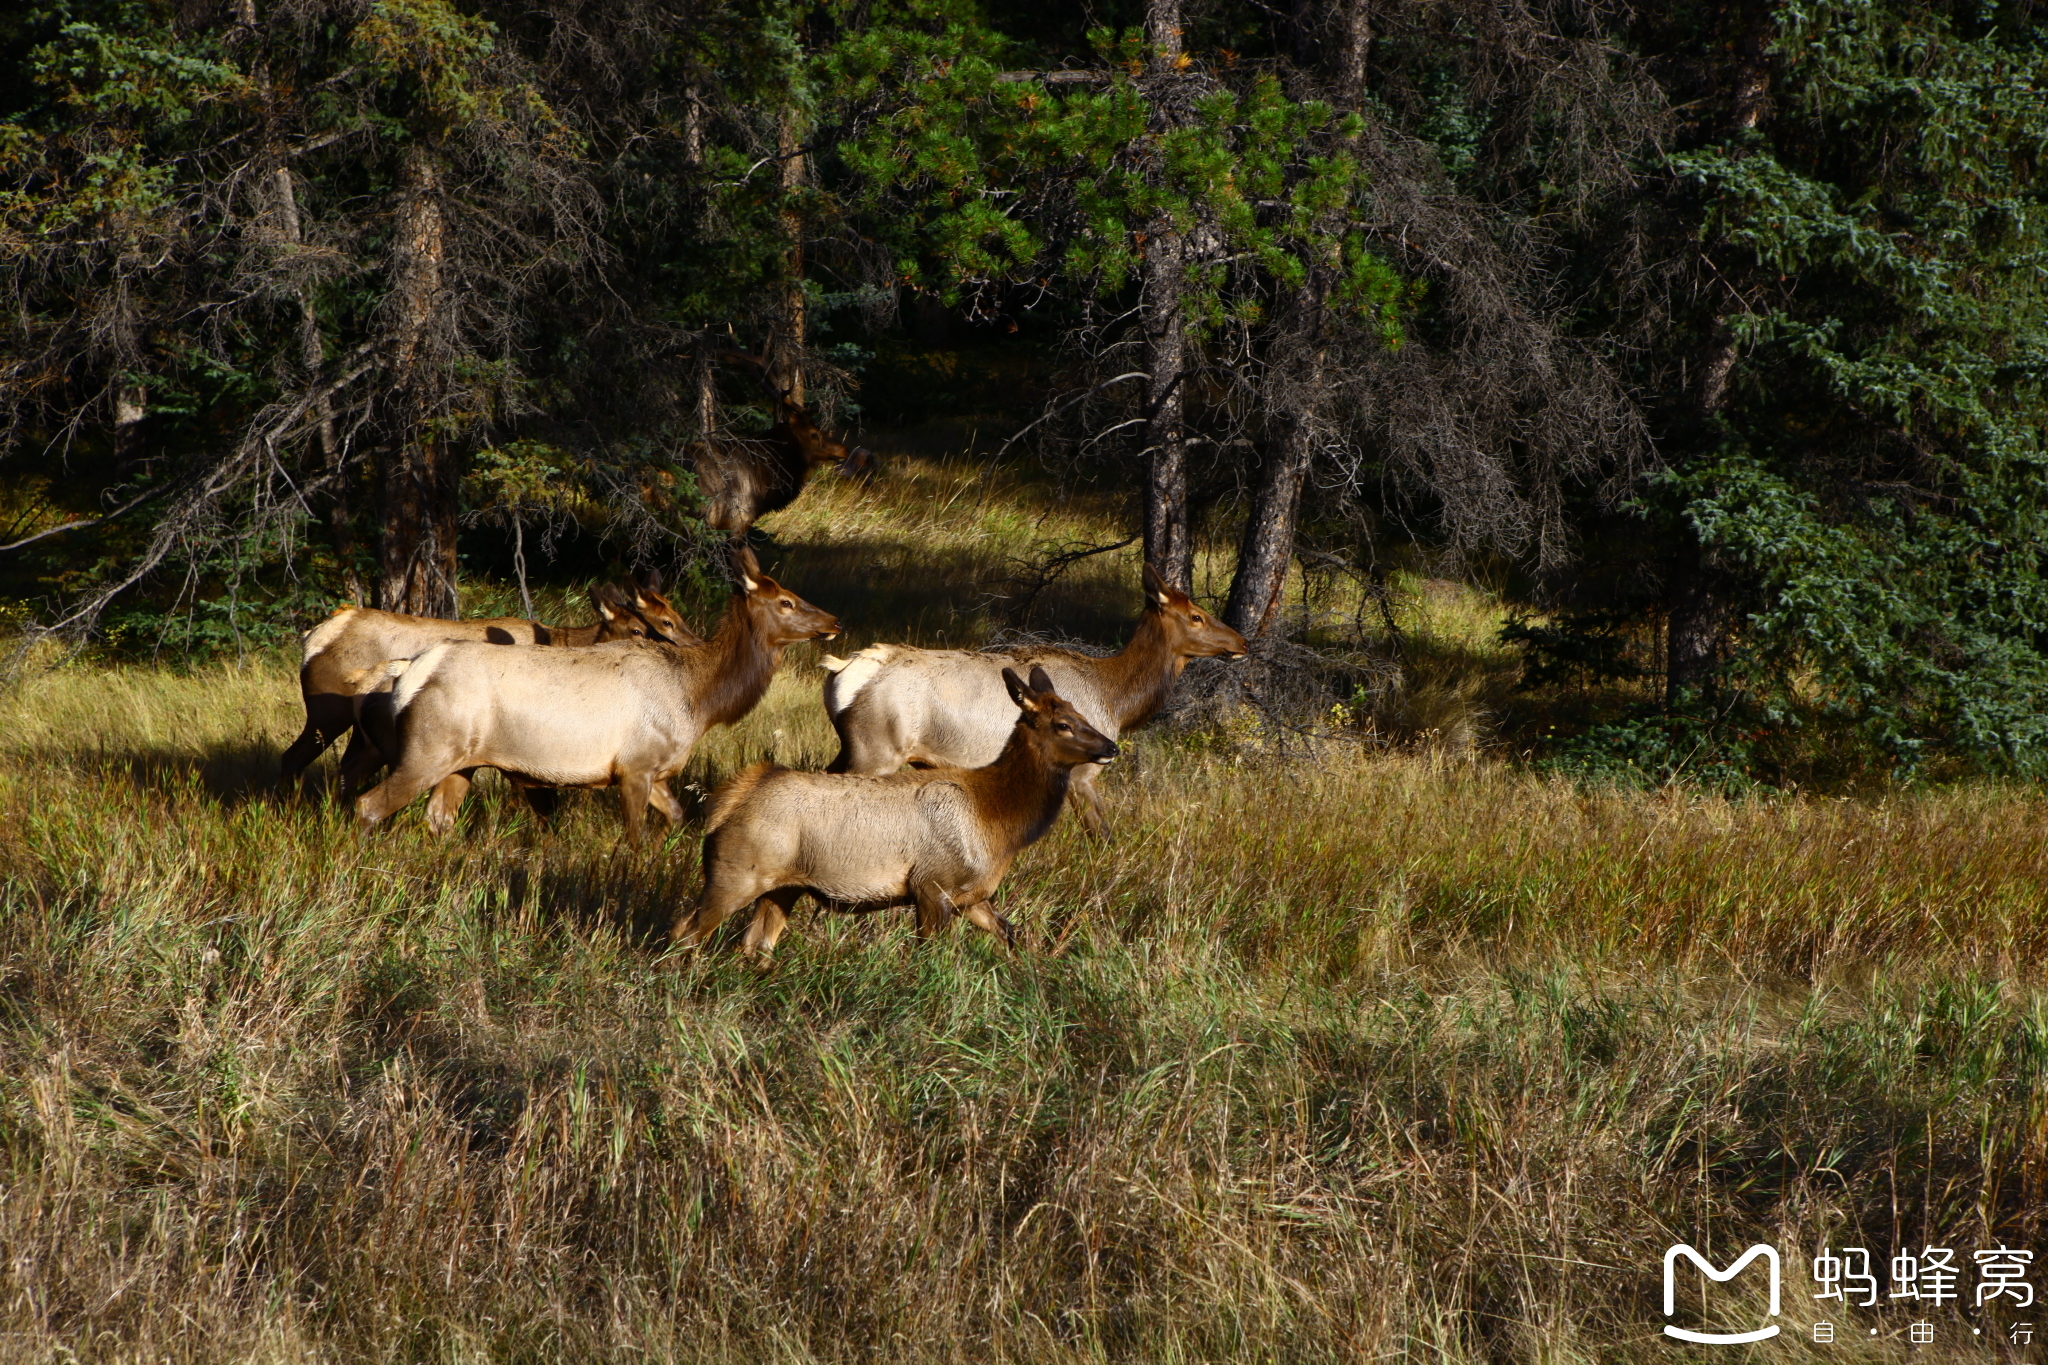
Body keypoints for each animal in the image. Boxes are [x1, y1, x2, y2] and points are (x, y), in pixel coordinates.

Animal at [280, 581, 696, 802]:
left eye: (672, 618)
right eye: (645, 627)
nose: (689, 647)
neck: (565, 643)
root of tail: (311, 638)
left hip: (360, 730)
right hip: (326, 712)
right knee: (293, 757)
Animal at [354, 544, 839, 843]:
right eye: (786, 602)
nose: (833, 621)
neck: (698, 700)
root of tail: (410, 672)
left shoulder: (655, 771)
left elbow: (677, 817)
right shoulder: (635, 766)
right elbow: (634, 839)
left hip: (463, 761)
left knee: (438, 819)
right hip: (428, 749)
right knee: (369, 805)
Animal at [667, 663, 1122, 961]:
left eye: (1082, 715)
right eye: (1063, 724)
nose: (1111, 747)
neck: (998, 820)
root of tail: (726, 802)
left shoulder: (972, 895)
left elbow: (1012, 935)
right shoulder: (931, 885)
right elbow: (929, 959)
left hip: (783, 886)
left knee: (755, 944)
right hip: (735, 875)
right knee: (684, 930)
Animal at [819, 560, 1245, 839]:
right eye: (1196, 616)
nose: (1241, 641)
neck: (1117, 700)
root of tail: (843, 671)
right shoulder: (1082, 771)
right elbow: (1101, 835)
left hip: (854, 747)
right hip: (877, 750)